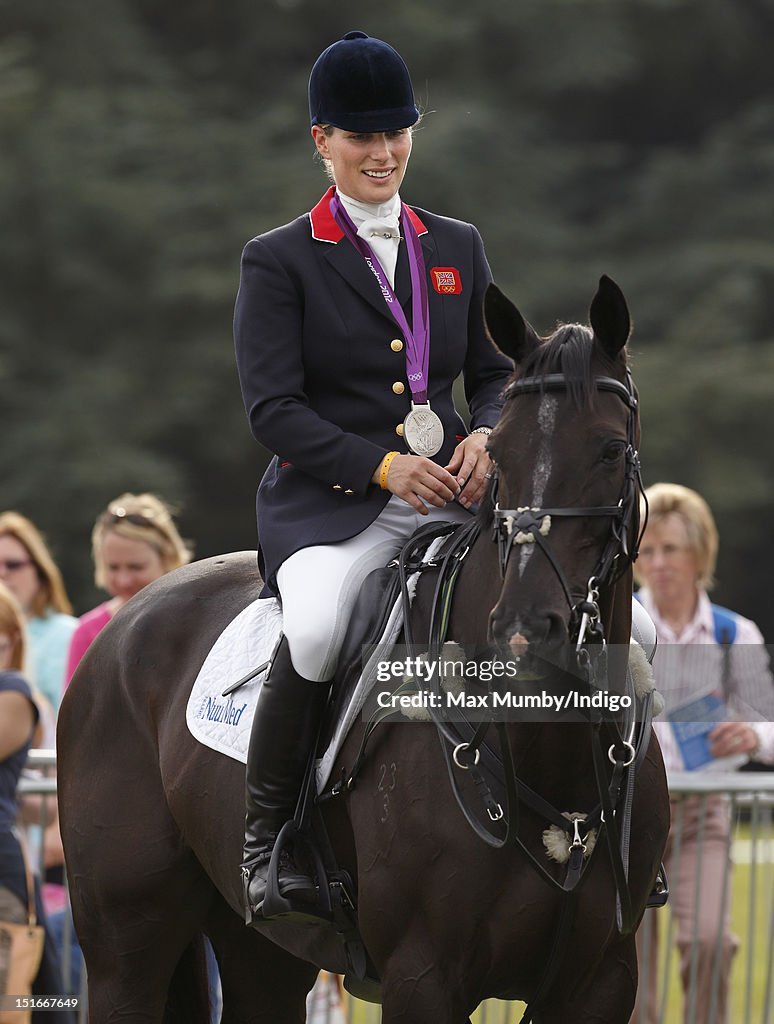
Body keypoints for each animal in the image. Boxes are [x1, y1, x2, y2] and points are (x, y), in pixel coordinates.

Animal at [57, 276, 667, 1019]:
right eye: (502, 454)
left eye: (608, 449)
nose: (525, 628)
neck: (546, 746)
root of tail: (124, 622)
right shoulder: (424, 977)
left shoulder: (602, 980)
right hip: (127, 941)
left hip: (260, 950)